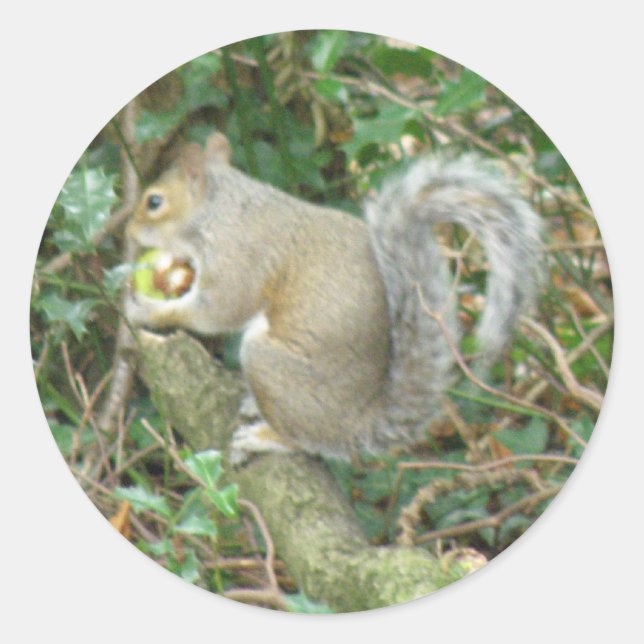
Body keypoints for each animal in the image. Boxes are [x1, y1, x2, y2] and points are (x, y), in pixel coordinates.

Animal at [125, 132, 542, 461]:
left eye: (154, 202)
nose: (129, 230)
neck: (219, 211)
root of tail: (354, 425)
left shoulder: (238, 257)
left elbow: (218, 311)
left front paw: (149, 310)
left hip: (268, 364)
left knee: (304, 441)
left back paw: (266, 437)